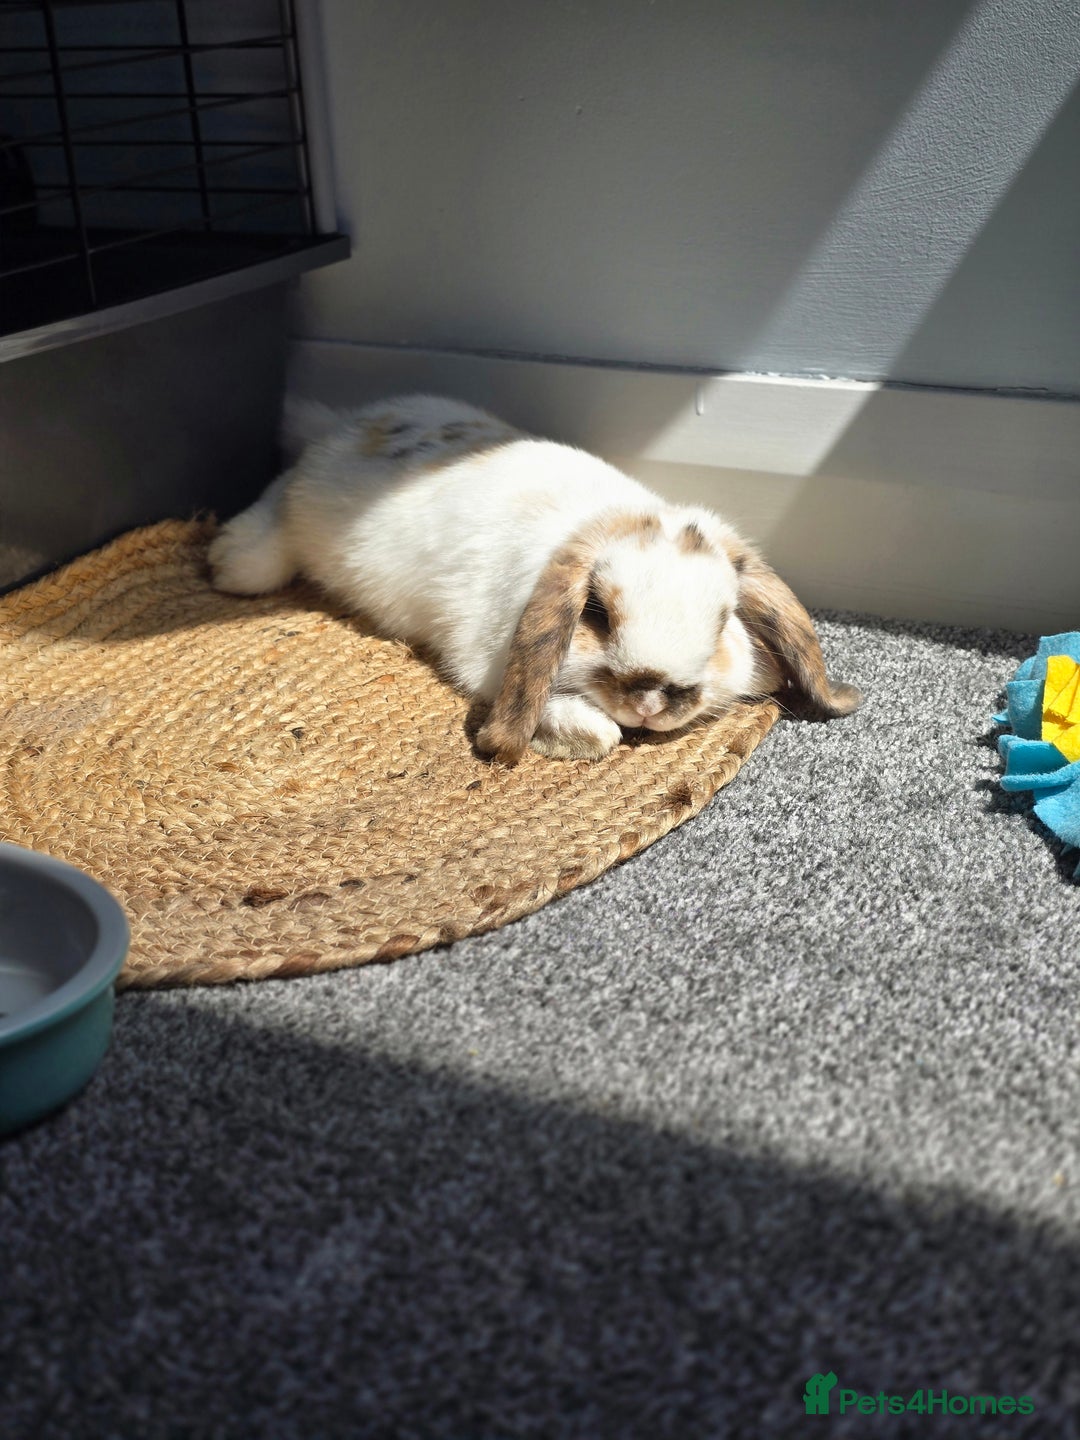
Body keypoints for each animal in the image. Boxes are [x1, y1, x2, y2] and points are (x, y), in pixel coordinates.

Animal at [208, 393, 862, 763]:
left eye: (725, 621)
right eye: (597, 613)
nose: (651, 699)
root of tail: (351, 424)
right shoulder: (487, 668)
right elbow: (590, 730)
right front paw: (585, 736)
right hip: (301, 514)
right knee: (277, 501)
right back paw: (225, 556)